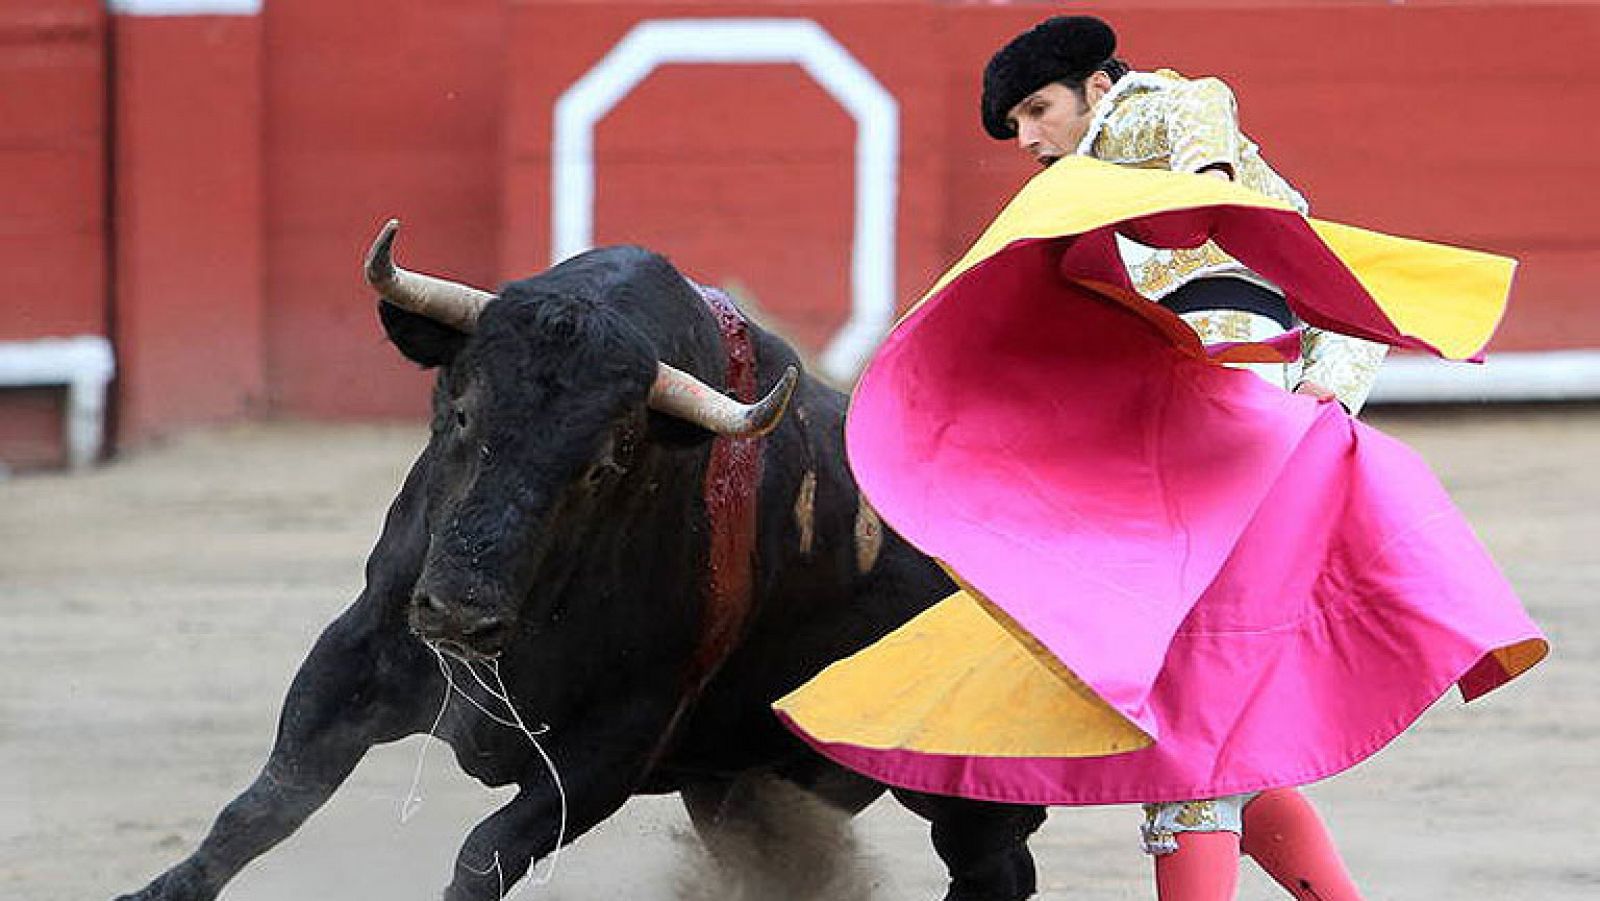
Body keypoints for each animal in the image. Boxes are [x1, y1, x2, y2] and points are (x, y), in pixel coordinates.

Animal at [121, 224, 1049, 901]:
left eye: (607, 462)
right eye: (460, 412)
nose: (460, 614)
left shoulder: (617, 739)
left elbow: (485, 852)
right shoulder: (362, 650)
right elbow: (263, 804)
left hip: (956, 769)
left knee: (993, 865)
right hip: (738, 787)